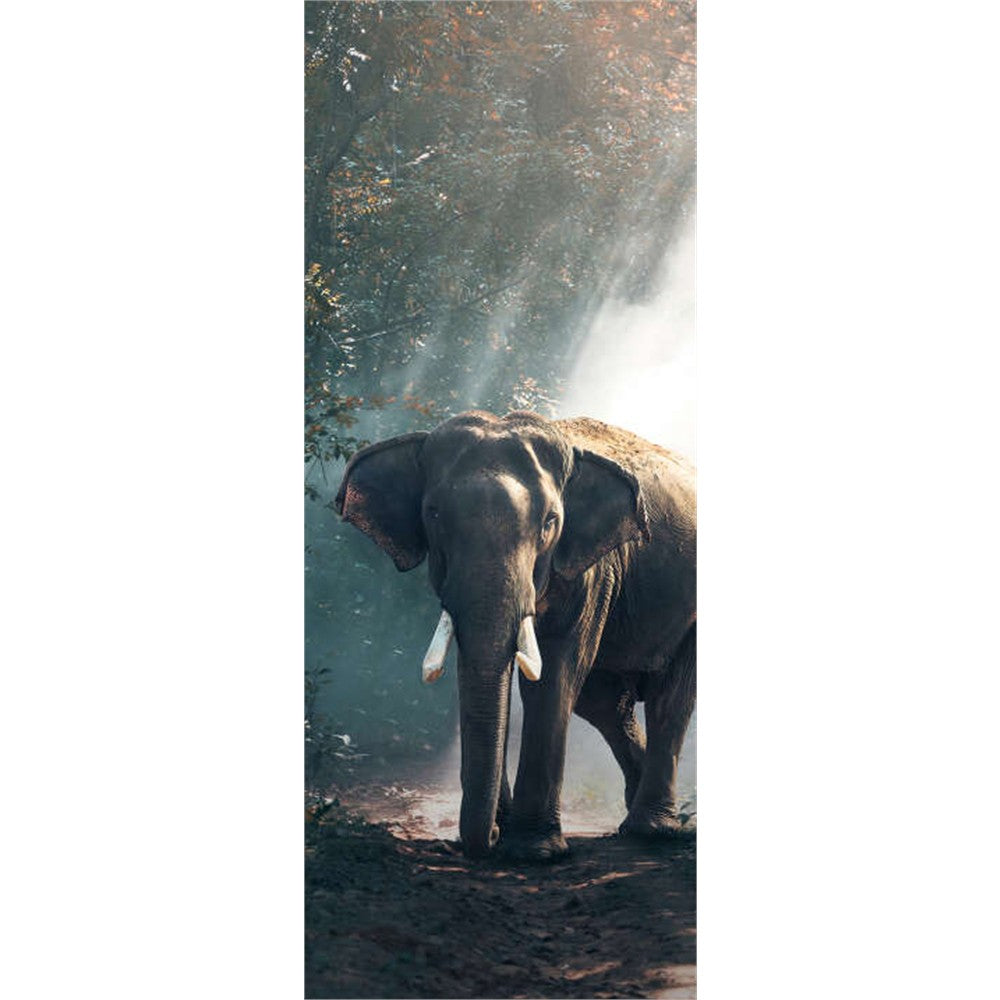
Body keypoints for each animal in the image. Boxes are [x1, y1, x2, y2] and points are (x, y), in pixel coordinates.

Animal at [334, 410, 696, 860]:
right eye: (433, 514)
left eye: (550, 522)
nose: (488, 836)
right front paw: (507, 834)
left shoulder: (591, 570)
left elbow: (554, 676)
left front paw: (532, 852)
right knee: (605, 703)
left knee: (668, 698)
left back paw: (653, 830)